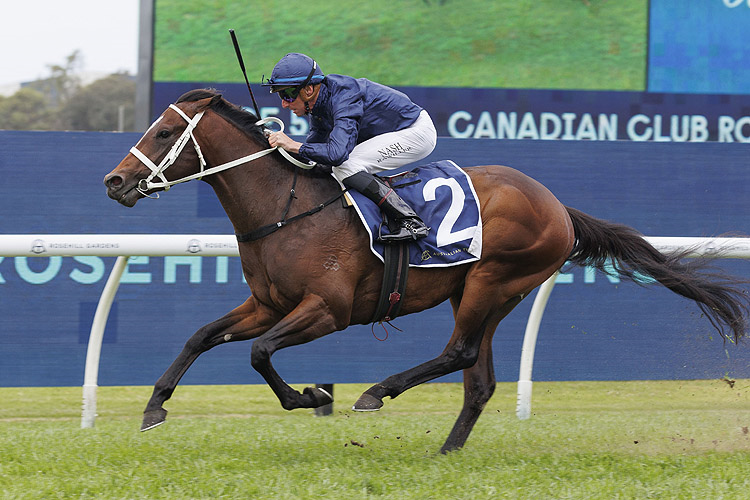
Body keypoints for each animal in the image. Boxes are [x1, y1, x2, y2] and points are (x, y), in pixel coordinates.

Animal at [103, 90, 748, 454]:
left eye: (165, 132)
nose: (114, 180)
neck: (286, 208)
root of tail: (558, 206)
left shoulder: (327, 310)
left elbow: (260, 354)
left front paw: (310, 396)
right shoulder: (268, 304)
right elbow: (202, 336)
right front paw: (155, 408)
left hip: (493, 282)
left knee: (459, 353)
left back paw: (376, 393)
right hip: (485, 292)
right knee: (478, 376)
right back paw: (447, 451)